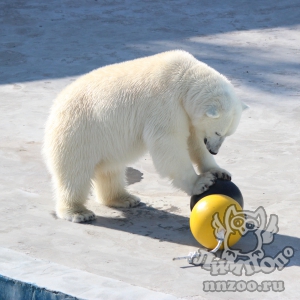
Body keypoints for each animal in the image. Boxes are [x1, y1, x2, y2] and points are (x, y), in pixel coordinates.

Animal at [43, 49, 247, 223]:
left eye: (227, 134)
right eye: (218, 131)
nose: (214, 151)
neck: (185, 76)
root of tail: (54, 108)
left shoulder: (186, 113)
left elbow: (194, 142)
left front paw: (219, 171)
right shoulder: (165, 103)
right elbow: (169, 144)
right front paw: (201, 182)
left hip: (105, 140)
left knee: (111, 169)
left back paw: (124, 198)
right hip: (79, 131)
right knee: (75, 172)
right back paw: (78, 212)